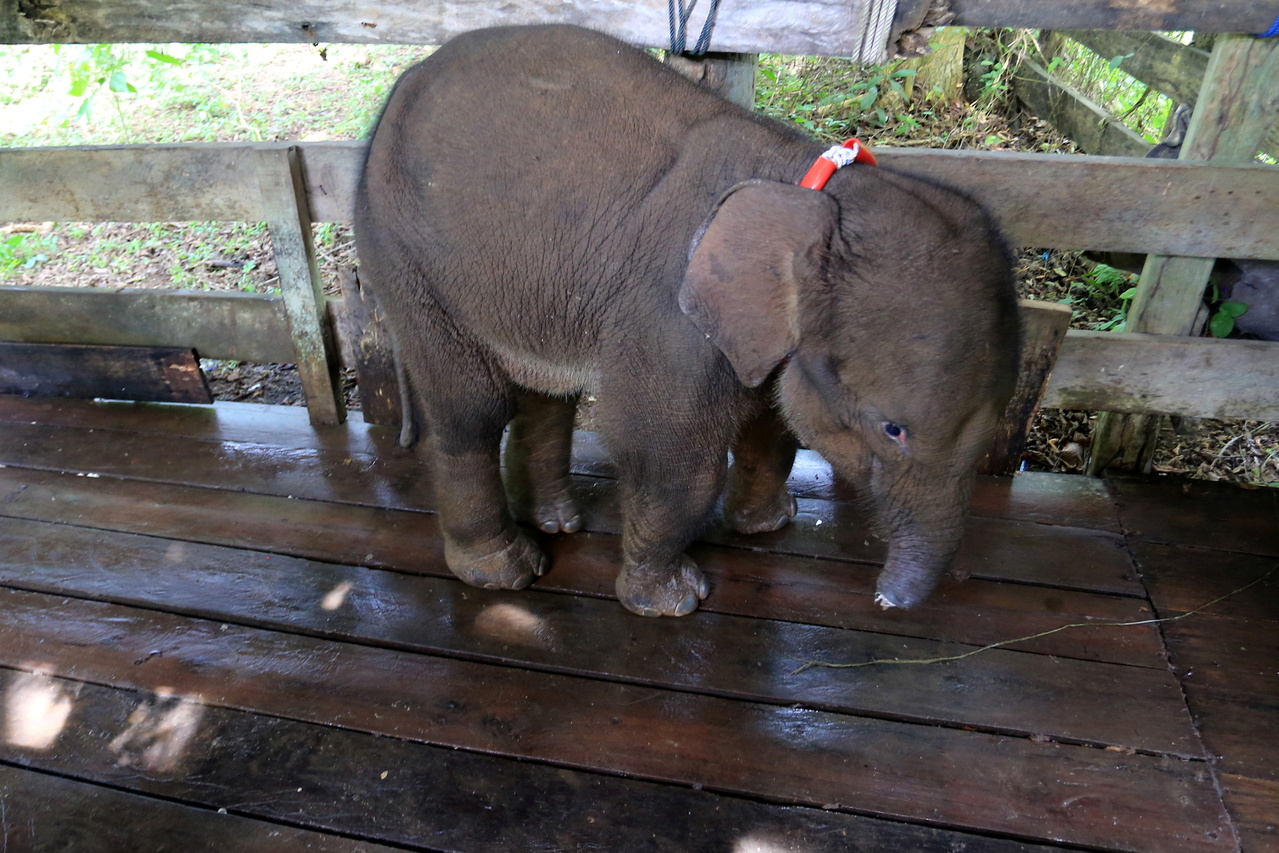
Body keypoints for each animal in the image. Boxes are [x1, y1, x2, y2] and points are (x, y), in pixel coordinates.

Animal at [355, 24, 1022, 616]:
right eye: (892, 430)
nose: (886, 601)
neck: (813, 193)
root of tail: (406, 79)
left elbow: (774, 425)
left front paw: (766, 526)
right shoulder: (668, 318)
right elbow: (667, 452)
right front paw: (674, 602)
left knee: (548, 393)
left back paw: (558, 522)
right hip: (403, 252)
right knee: (470, 408)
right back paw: (505, 571)